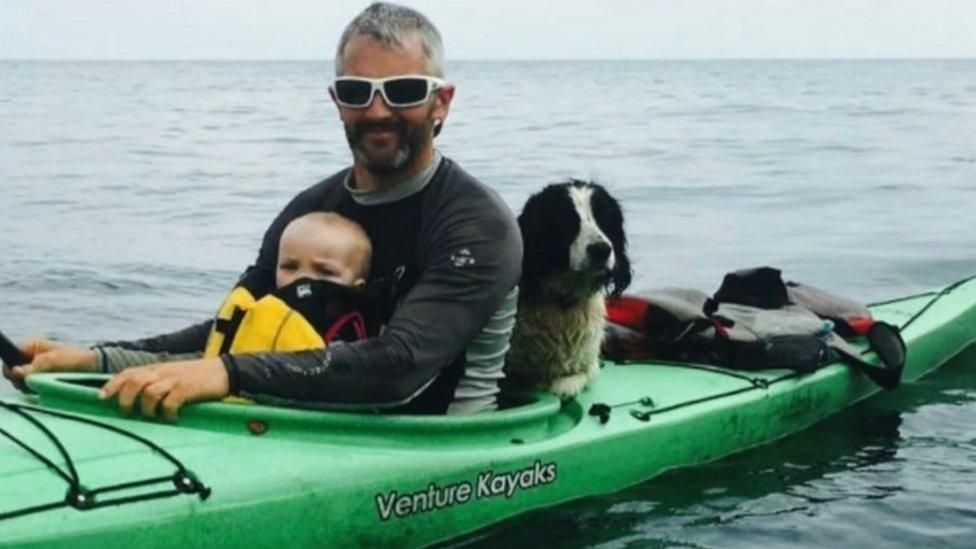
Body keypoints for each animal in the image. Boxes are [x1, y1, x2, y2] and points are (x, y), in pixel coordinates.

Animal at [504, 180, 632, 398]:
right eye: (566, 220)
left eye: (604, 218)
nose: (601, 250)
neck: (562, 302)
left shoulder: (584, 366)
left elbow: (566, 383)